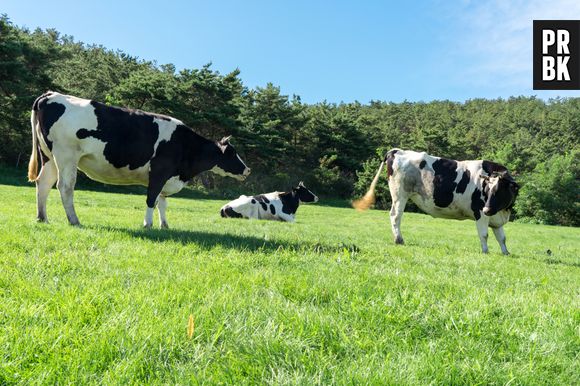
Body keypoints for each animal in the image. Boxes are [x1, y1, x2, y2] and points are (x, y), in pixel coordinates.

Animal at [27, 91, 250, 228]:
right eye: (232, 153)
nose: (247, 170)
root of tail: (51, 94)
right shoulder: (159, 172)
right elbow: (151, 198)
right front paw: (147, 224)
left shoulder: (167, 176)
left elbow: (162, 202)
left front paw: (164, 225)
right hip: (66, 155)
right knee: (65, 187)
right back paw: (74, 220)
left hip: (49, 157)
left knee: (43, 183)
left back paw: (42, 218)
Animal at [354, 149, 520, 255]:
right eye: (487, 189)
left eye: (499, 191)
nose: (487, 209)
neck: (503, 211)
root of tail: (396, 150)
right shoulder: (480, 213)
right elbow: (484, 235)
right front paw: (485, 252)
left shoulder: (495, 218)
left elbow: (502, 238)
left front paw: (506, 253)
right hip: (400, 194)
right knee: (395, 216)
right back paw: (399, 240)